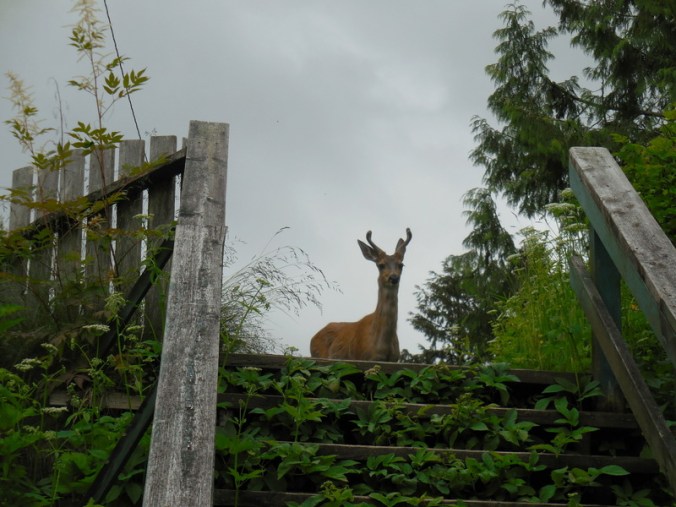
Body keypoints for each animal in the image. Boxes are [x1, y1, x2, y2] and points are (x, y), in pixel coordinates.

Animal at [310, 228, 412, 362]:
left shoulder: (394, 360)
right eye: (381, 265)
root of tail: (312, 339)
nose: (394, 278)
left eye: (401, 265)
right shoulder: (364, 357)